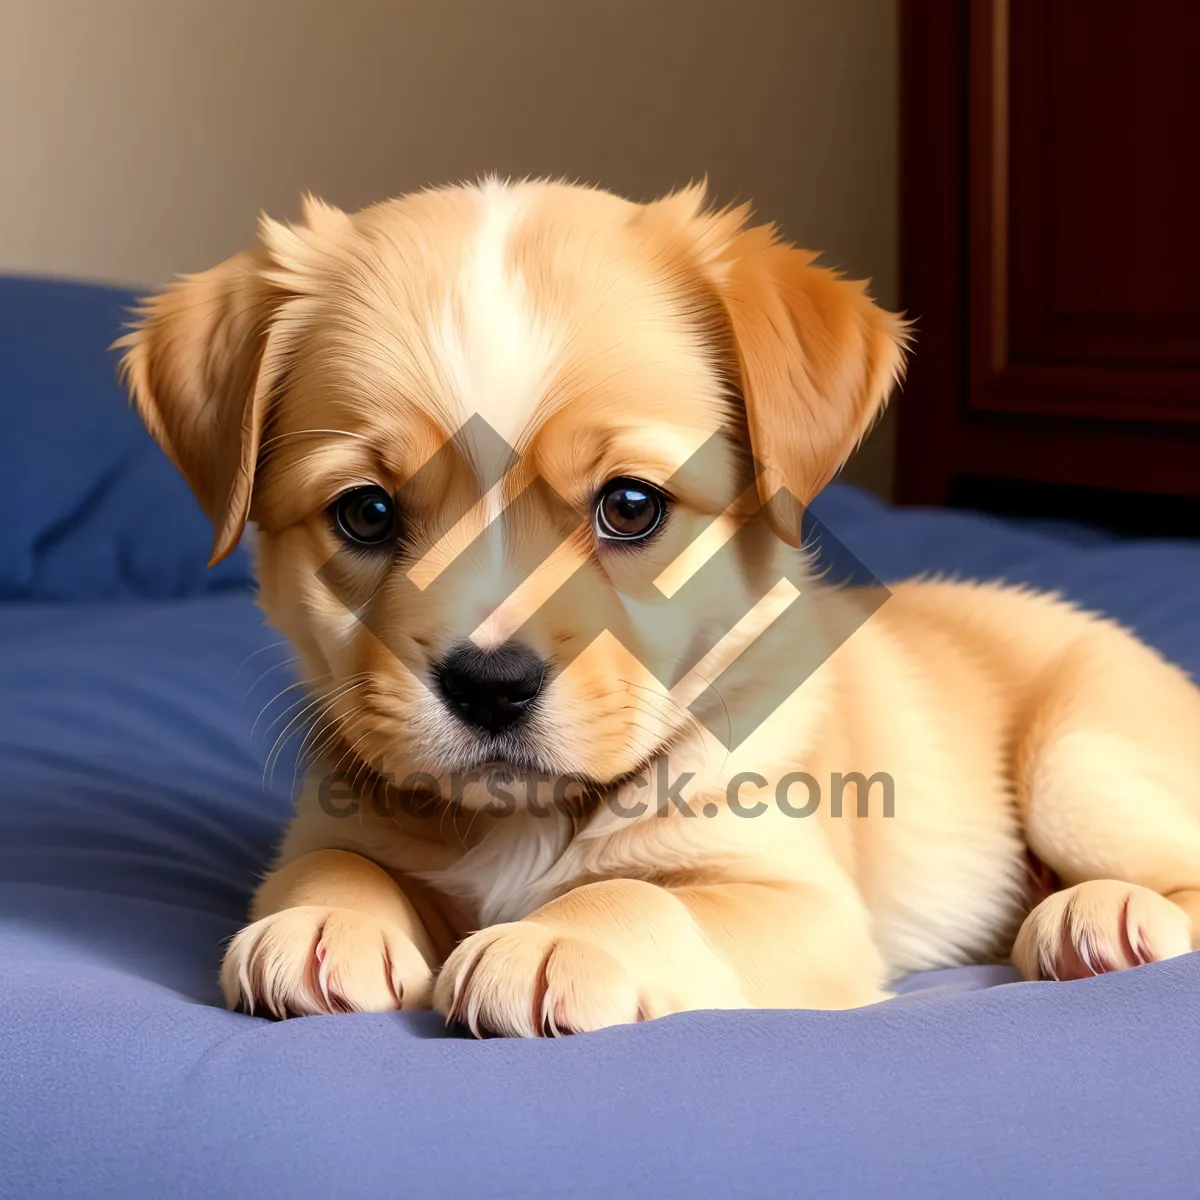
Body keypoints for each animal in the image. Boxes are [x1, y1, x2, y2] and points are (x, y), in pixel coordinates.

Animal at [119, 177, 1200, 1032]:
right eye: (367, 513)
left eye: (630, 506)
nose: (490, 686)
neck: (526, 823)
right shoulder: (331, 820)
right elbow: (336, 863)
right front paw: (320, 918)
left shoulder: (799, 903)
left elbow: (648, 899)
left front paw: (557, 940)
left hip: (1078, 765)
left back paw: (1099, 914)